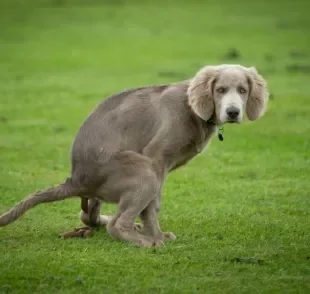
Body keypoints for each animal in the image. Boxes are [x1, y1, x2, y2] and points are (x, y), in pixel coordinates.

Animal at [0, 64, 268, 246]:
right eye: (220, 90)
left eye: (243, 90)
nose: (232, 112)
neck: (192, 108)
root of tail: (75, 180)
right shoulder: (157, 159)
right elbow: (153, 206)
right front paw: (156, 236)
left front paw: (154, 232)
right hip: (142, 170)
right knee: (116, 224)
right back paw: (146, 242)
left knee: (88, 216)